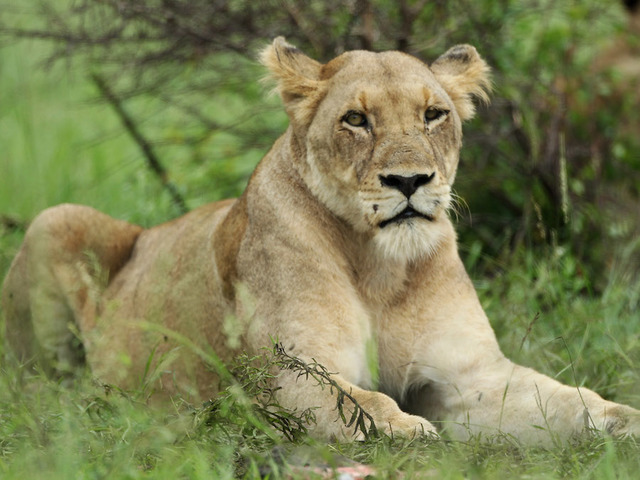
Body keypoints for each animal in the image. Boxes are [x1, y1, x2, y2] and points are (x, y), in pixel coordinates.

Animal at [2, 37, 639, 445]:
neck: (381, 268)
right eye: (356, 120)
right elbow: (360, 401)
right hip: (55, 221)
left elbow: (567, 398)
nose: (410, 181)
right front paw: (406, 430)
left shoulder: (470, 376)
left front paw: (623, 419)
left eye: (433, 114)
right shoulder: (284, 376)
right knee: (36, 387)